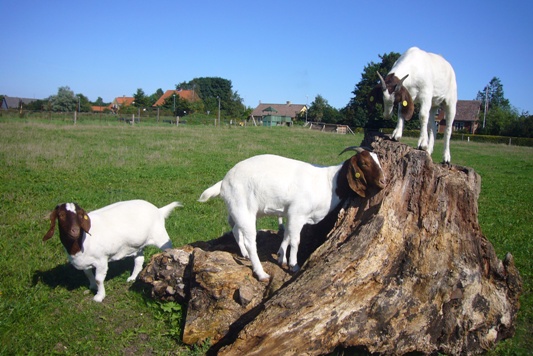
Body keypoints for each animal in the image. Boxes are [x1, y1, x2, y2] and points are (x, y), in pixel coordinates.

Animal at [42, 199, 180, 302]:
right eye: (61, 215)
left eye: (80, 215)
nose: (75, 230)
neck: (82, 241)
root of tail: (158, 210)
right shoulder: (85, 261)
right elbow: (88, 274)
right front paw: (92, 286)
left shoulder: (101, 260)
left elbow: (99, 279)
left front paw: (99, 296)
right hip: (137, 245)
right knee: (139, 260)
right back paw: (133, 277)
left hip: (160, 237)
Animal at [197, 147, 384, 280]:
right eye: (364, 163)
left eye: (378, 161)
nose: (383, 181)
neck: (329, 182)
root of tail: (223, 182)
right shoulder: (297, 213)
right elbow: (295, 240)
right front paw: (293, 265)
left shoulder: (290, 214)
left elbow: (286, 235)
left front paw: (281, 257)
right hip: (243, 209)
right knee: (250, 242)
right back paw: (261, 274)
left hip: (240, 211)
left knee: (236, 230)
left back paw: (244, 254)